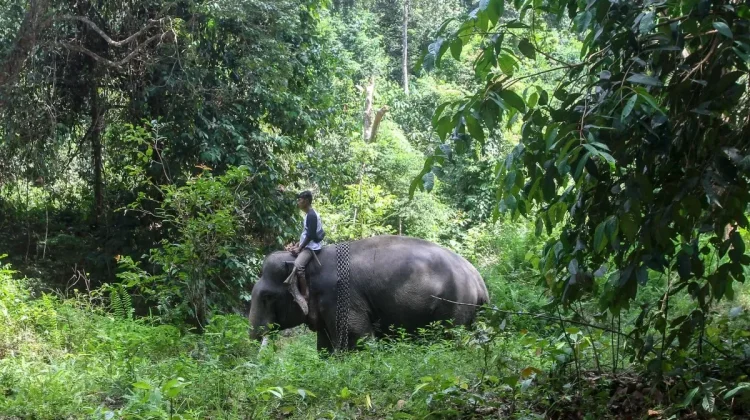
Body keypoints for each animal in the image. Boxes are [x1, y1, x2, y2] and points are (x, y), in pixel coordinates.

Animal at [247, 235, 489, 353]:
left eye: (268, 297)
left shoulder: (340, 298)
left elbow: (357, 338)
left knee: (451, 338)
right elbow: (323, 346)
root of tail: (479, 281)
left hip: (456, 305)